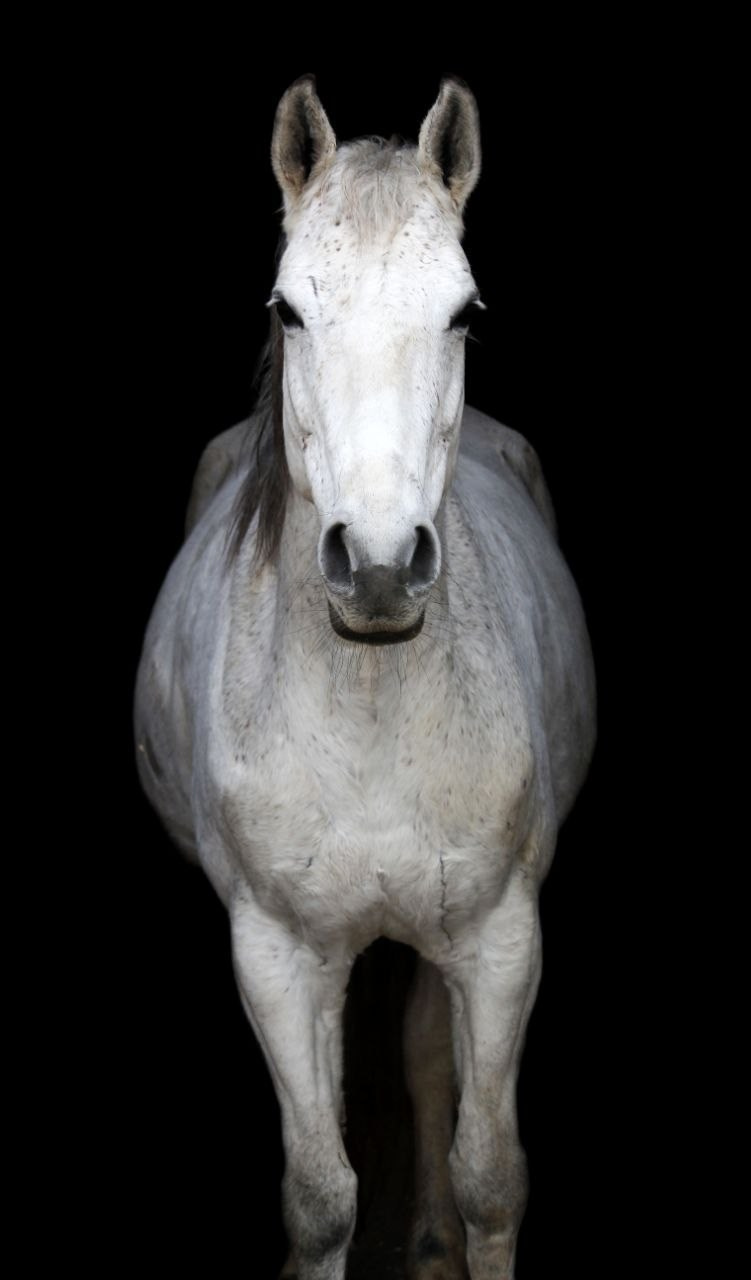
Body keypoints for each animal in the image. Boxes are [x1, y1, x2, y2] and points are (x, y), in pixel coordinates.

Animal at [134, 74, 596, 1280]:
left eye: (465, 312)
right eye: (288, 309)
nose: (380, 565)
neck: (370, 706)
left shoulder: (500, 941)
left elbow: (491, 1179)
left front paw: (456, 1227)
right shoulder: (276, 955)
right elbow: (319, 1197)